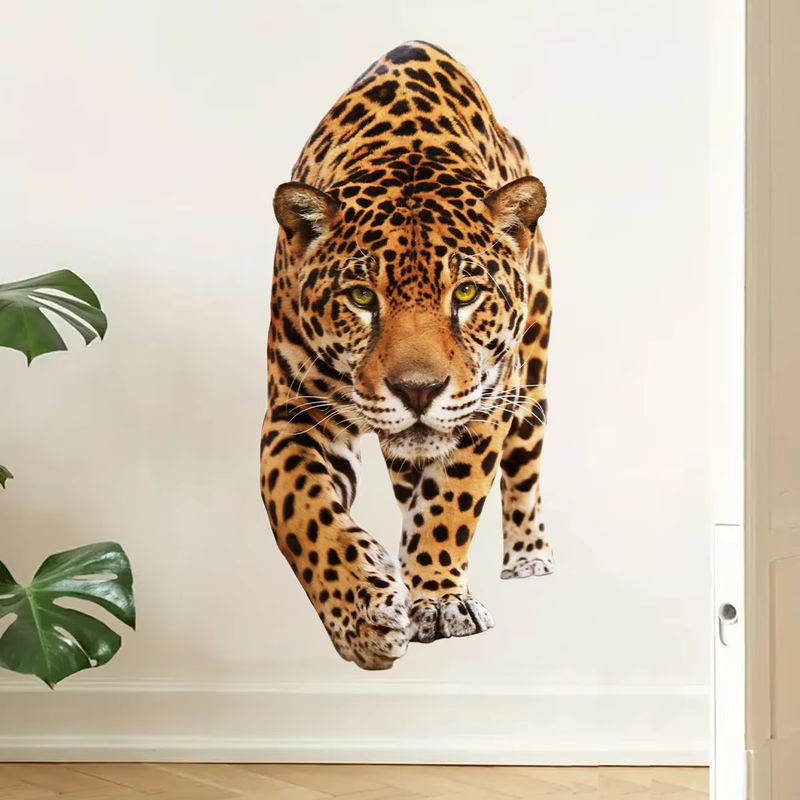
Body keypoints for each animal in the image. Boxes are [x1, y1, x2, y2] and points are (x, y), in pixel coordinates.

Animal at [260, 41, 553, 670]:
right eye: (361, 297)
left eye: (465, 294)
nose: (418, 390)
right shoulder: (294, 414)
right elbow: (302, 513)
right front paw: (362, 617)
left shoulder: (484, 403)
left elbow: (451, 504)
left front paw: (440, 600)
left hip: (533, 378)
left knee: (524, 467)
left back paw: (528, 555)